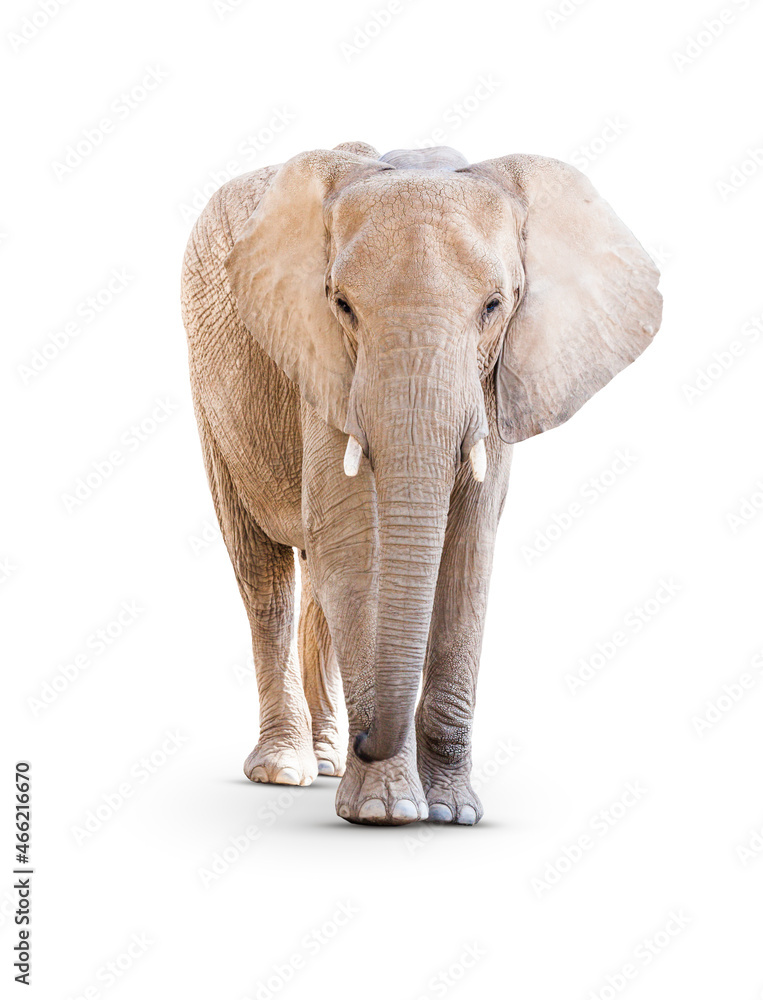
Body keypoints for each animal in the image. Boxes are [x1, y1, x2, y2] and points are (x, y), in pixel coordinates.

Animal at [180, 140, 662, 826]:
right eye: (342, 305)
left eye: (494, 305)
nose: (368, 736)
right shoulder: (323, 361)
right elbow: (354, 542)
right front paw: (386, 810)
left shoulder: (496, 381)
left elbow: (468, 550)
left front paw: (454, 813)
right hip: (212, 393)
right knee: (265, 576)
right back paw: (285, 770)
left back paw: (327, 760)